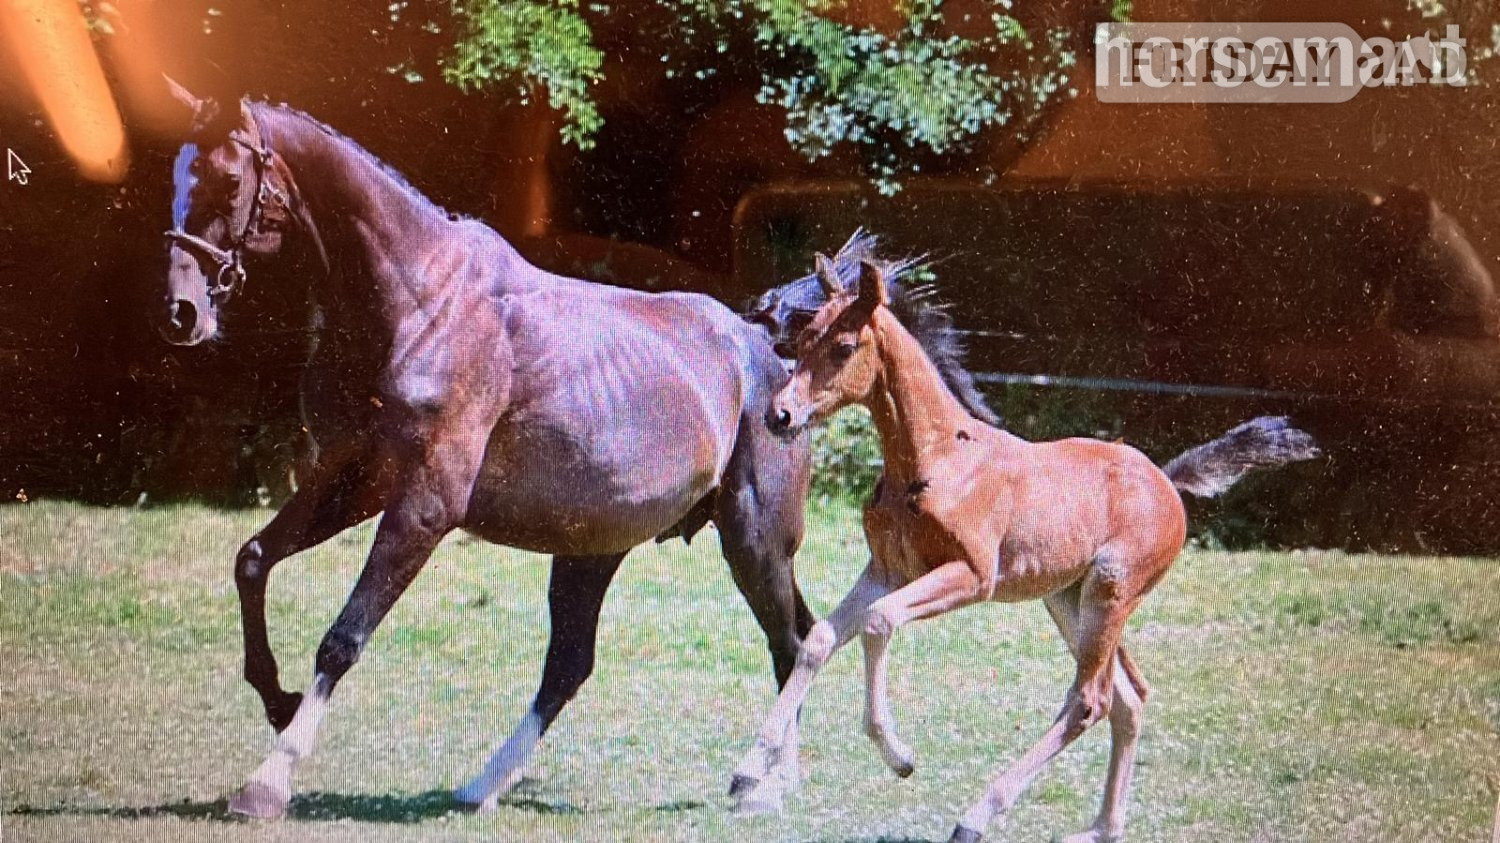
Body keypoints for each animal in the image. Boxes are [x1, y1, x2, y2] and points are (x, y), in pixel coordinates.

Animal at [156, 76, 827, 819]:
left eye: (227, 177)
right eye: (175, 174)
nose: (183, 311)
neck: (420, 303)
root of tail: (764, 346)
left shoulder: (424, 505)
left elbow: (342, 638)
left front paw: (267, 782)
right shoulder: (354, 478)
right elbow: (251, 560)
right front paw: (278, 700)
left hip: (753, 537)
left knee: (794, 639)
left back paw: (761, 781)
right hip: (593, 549)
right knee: (573, 665)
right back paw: (482, 786)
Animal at [729, 256, 1320, 842]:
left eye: (844, 347)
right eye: (803, 339)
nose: (779, 415)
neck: (936, 460)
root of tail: (1168, 482)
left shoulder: (971, 576)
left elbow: (878, 621)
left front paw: (899, 756)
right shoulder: (888, 569)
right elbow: (819, 640)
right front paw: (748, 772)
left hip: (1111, 590)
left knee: (1089, 701)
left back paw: (976, 817)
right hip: (1068, 598)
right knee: (1128, 698)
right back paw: (1100, 829)